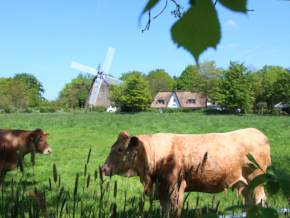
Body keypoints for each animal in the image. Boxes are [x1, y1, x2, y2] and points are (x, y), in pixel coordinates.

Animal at [101, 127, 270, 216]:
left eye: (120, 149)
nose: (103, 169)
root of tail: (257, 132)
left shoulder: (176, 189)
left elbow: (175, 211)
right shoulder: (163, 190)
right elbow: (165, 211)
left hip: (257, 182)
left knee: (260, 201)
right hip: (247, 185)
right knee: (249, 203)